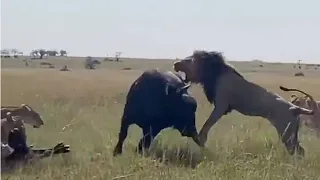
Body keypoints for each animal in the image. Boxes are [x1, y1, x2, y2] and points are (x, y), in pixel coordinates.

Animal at [174, 50, 314, 156]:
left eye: (189, 60)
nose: (175, 63)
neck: (215, 74)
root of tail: (294, 108)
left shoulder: (221, 106)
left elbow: (206, 126)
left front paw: (201, 142)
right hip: (291, 131)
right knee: (299, 150)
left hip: (286, 131)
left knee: (297, 150)